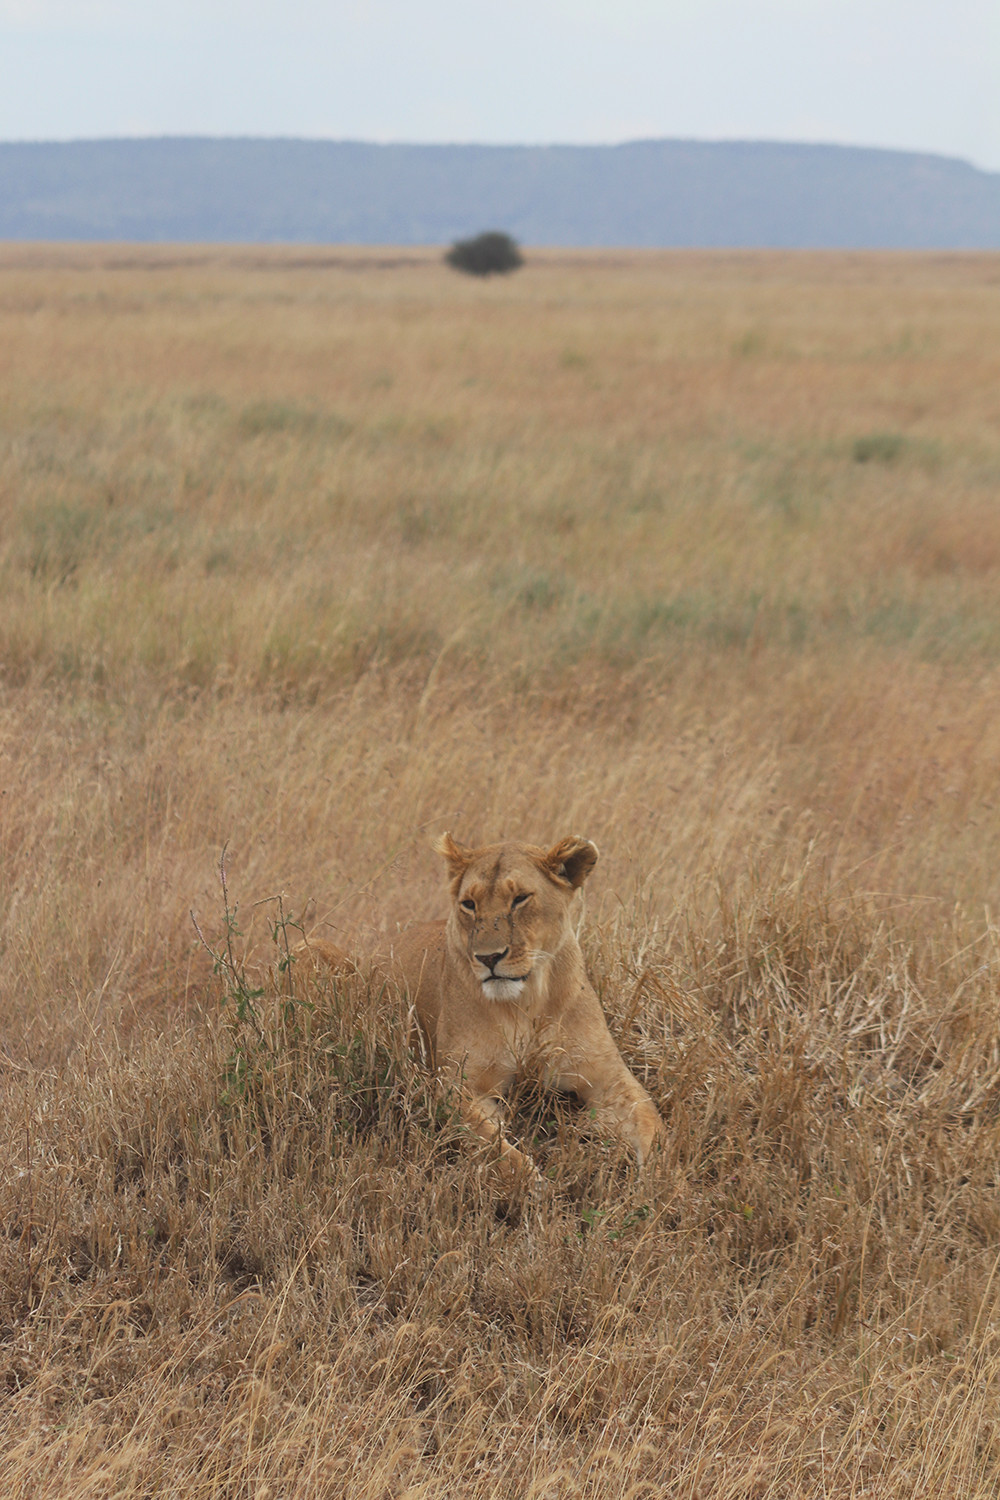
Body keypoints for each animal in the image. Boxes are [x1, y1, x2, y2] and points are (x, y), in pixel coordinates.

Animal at [302, 833, 666, 1185]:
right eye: (469, 904)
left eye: (520, 898)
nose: (489, 957)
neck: (526, 1003)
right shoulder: (455, 1087)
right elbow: (491, 1144)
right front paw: (532, 1185)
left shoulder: (609, 1078)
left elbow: (653, 1123)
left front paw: (656, 1182)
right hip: (312, 946)